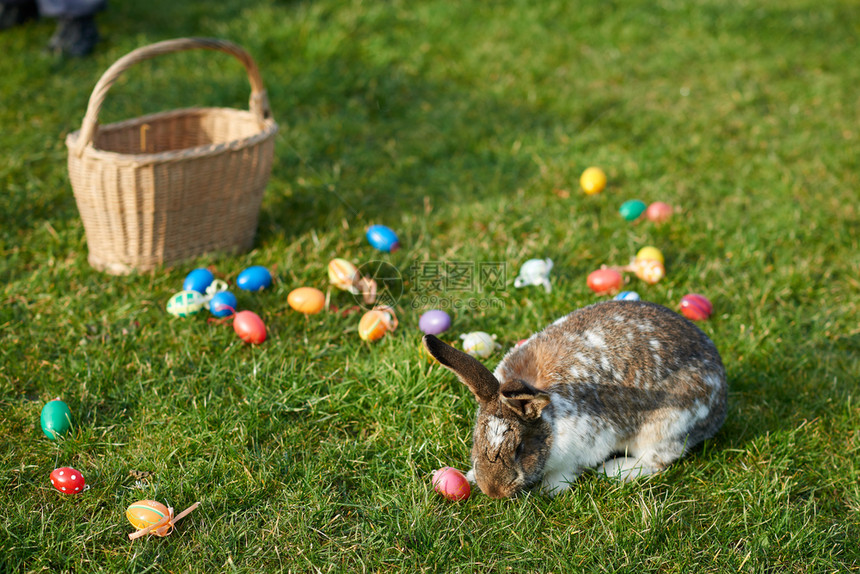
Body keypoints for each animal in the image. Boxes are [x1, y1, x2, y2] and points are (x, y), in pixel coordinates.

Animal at [424, 302, 724, 500]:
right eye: (476, 439)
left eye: (520, 448)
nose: (493, 491)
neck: (551, 421)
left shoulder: (586, 446)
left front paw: (549, 489)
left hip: (665, 427)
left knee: (658, 461)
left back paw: (614, 470)